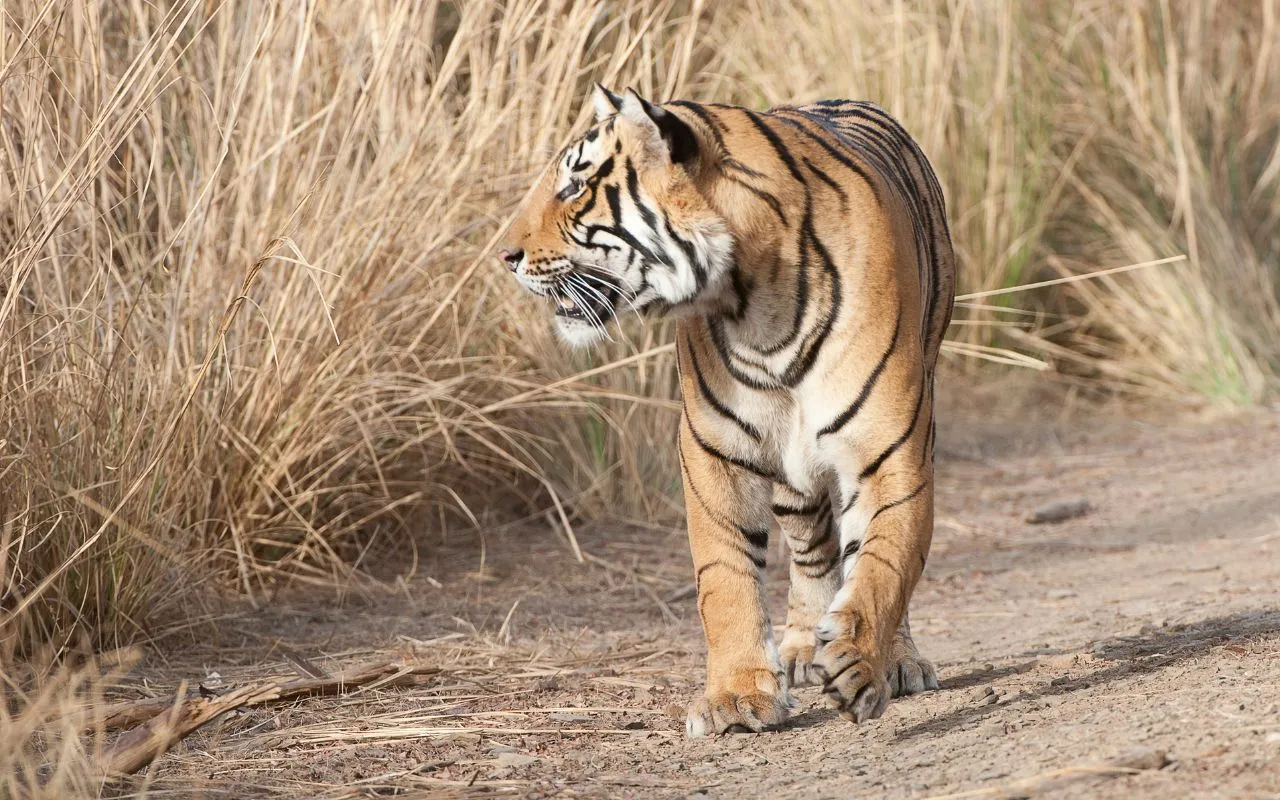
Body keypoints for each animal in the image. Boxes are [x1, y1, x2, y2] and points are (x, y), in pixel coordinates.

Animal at [496, 82, 952, 737]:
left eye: (575, 186)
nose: (504, 255)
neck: (757, 302)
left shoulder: (889, 451)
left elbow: (885, 562)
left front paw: (862, 664)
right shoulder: (715, 450)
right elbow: (725, 577)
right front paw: (736, 697)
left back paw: (895, 660)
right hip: (790, 473)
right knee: (811, 550)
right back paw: (803, 647)